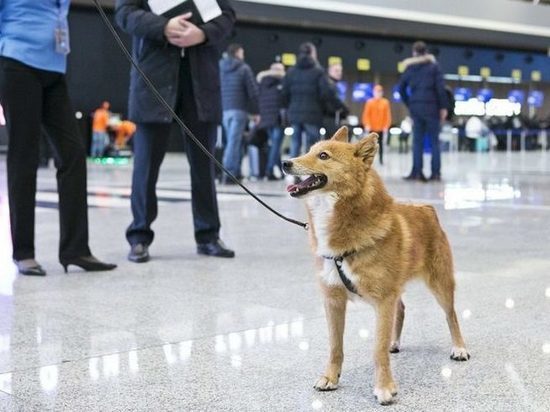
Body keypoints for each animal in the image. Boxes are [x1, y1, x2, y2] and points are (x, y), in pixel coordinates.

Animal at [284, 126, 470, 406]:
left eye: (324, 155)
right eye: (308, 150)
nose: (285, 163)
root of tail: (426, 208)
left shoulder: (383, 301)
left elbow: (377, 349)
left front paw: (384, 387)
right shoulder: (334, 300)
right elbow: (335, 346)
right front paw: (331, 377)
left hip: (440, 283)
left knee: (451, 315)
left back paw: (459, 347)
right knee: (401, 309)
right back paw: (395, 342)